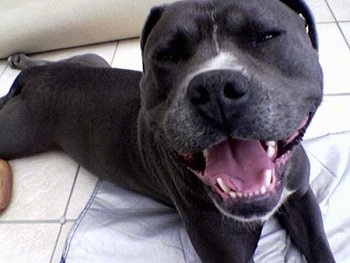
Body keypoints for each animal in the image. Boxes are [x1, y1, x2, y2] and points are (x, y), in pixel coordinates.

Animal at [0, 0, 336, 262]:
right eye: (167, 55)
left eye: (267, 36)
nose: (215, 88)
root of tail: (36, 78)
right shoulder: (228, 253)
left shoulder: (301, 198)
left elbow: (320, 247)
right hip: (19, 133)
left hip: (91, 60)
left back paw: (22, 59)